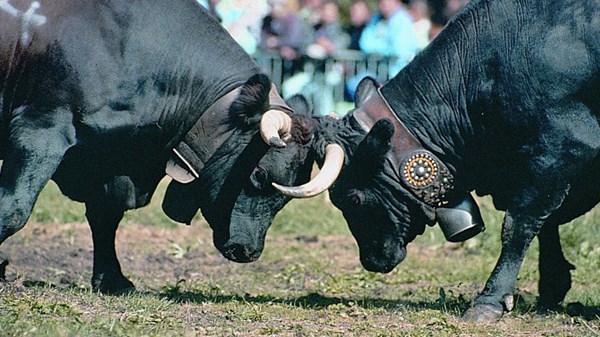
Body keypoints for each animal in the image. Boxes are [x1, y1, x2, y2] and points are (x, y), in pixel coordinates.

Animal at [0, 0, 332, 292]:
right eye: (259, 174)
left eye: (285, 198)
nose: (247, 251)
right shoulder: (40, 127)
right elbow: (14, 208)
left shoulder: (109, 159)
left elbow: (106, 216)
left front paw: (113, 279)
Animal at [268, 0, 600, 322]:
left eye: (351, 199)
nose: (370, 261)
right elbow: (547, 223)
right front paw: (552, 286)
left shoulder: (560, 147)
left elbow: (519, 226)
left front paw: (489, 300)